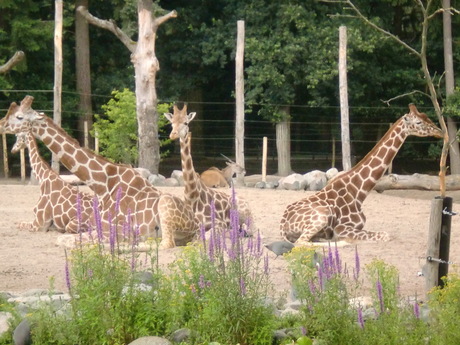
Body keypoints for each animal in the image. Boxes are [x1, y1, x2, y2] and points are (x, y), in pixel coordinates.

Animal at [1, 95, 199, 249]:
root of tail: (195, 223)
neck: (102, 185)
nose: (2, 124)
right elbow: (62, 239)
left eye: (19, 116)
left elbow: (67, 240)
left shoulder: (112, 229)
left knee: (166, 244)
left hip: (166, 207)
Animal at [164, 103, 255, 232]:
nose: (173, 134)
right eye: (171, 122)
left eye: (186, 122)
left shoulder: (218, 222)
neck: (192, 195)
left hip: (246, 216)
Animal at [278, 103, 444, 243]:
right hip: (321, 216)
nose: (440, 131)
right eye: (419, 122)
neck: (359, 192)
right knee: (301, 243)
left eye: (426, 117)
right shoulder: (342, 228)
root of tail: (282, 226)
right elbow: (385, 235)